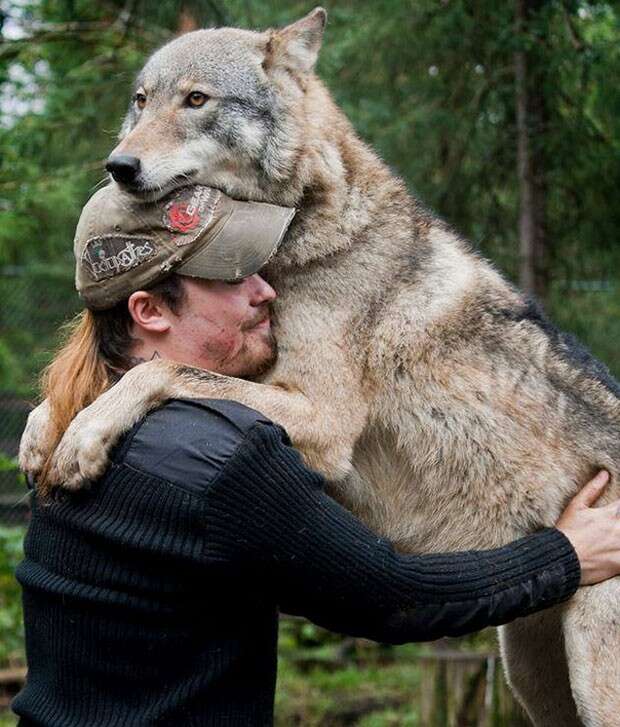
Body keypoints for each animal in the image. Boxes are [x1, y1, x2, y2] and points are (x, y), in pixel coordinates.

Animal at [19, 7, 620, 727]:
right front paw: (40, 432)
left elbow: (160, 373)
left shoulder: (325, 419)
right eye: (142, 101)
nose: (120, 165)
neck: (300, 232)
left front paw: (83, 436)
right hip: (534, 675)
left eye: (196, 100)